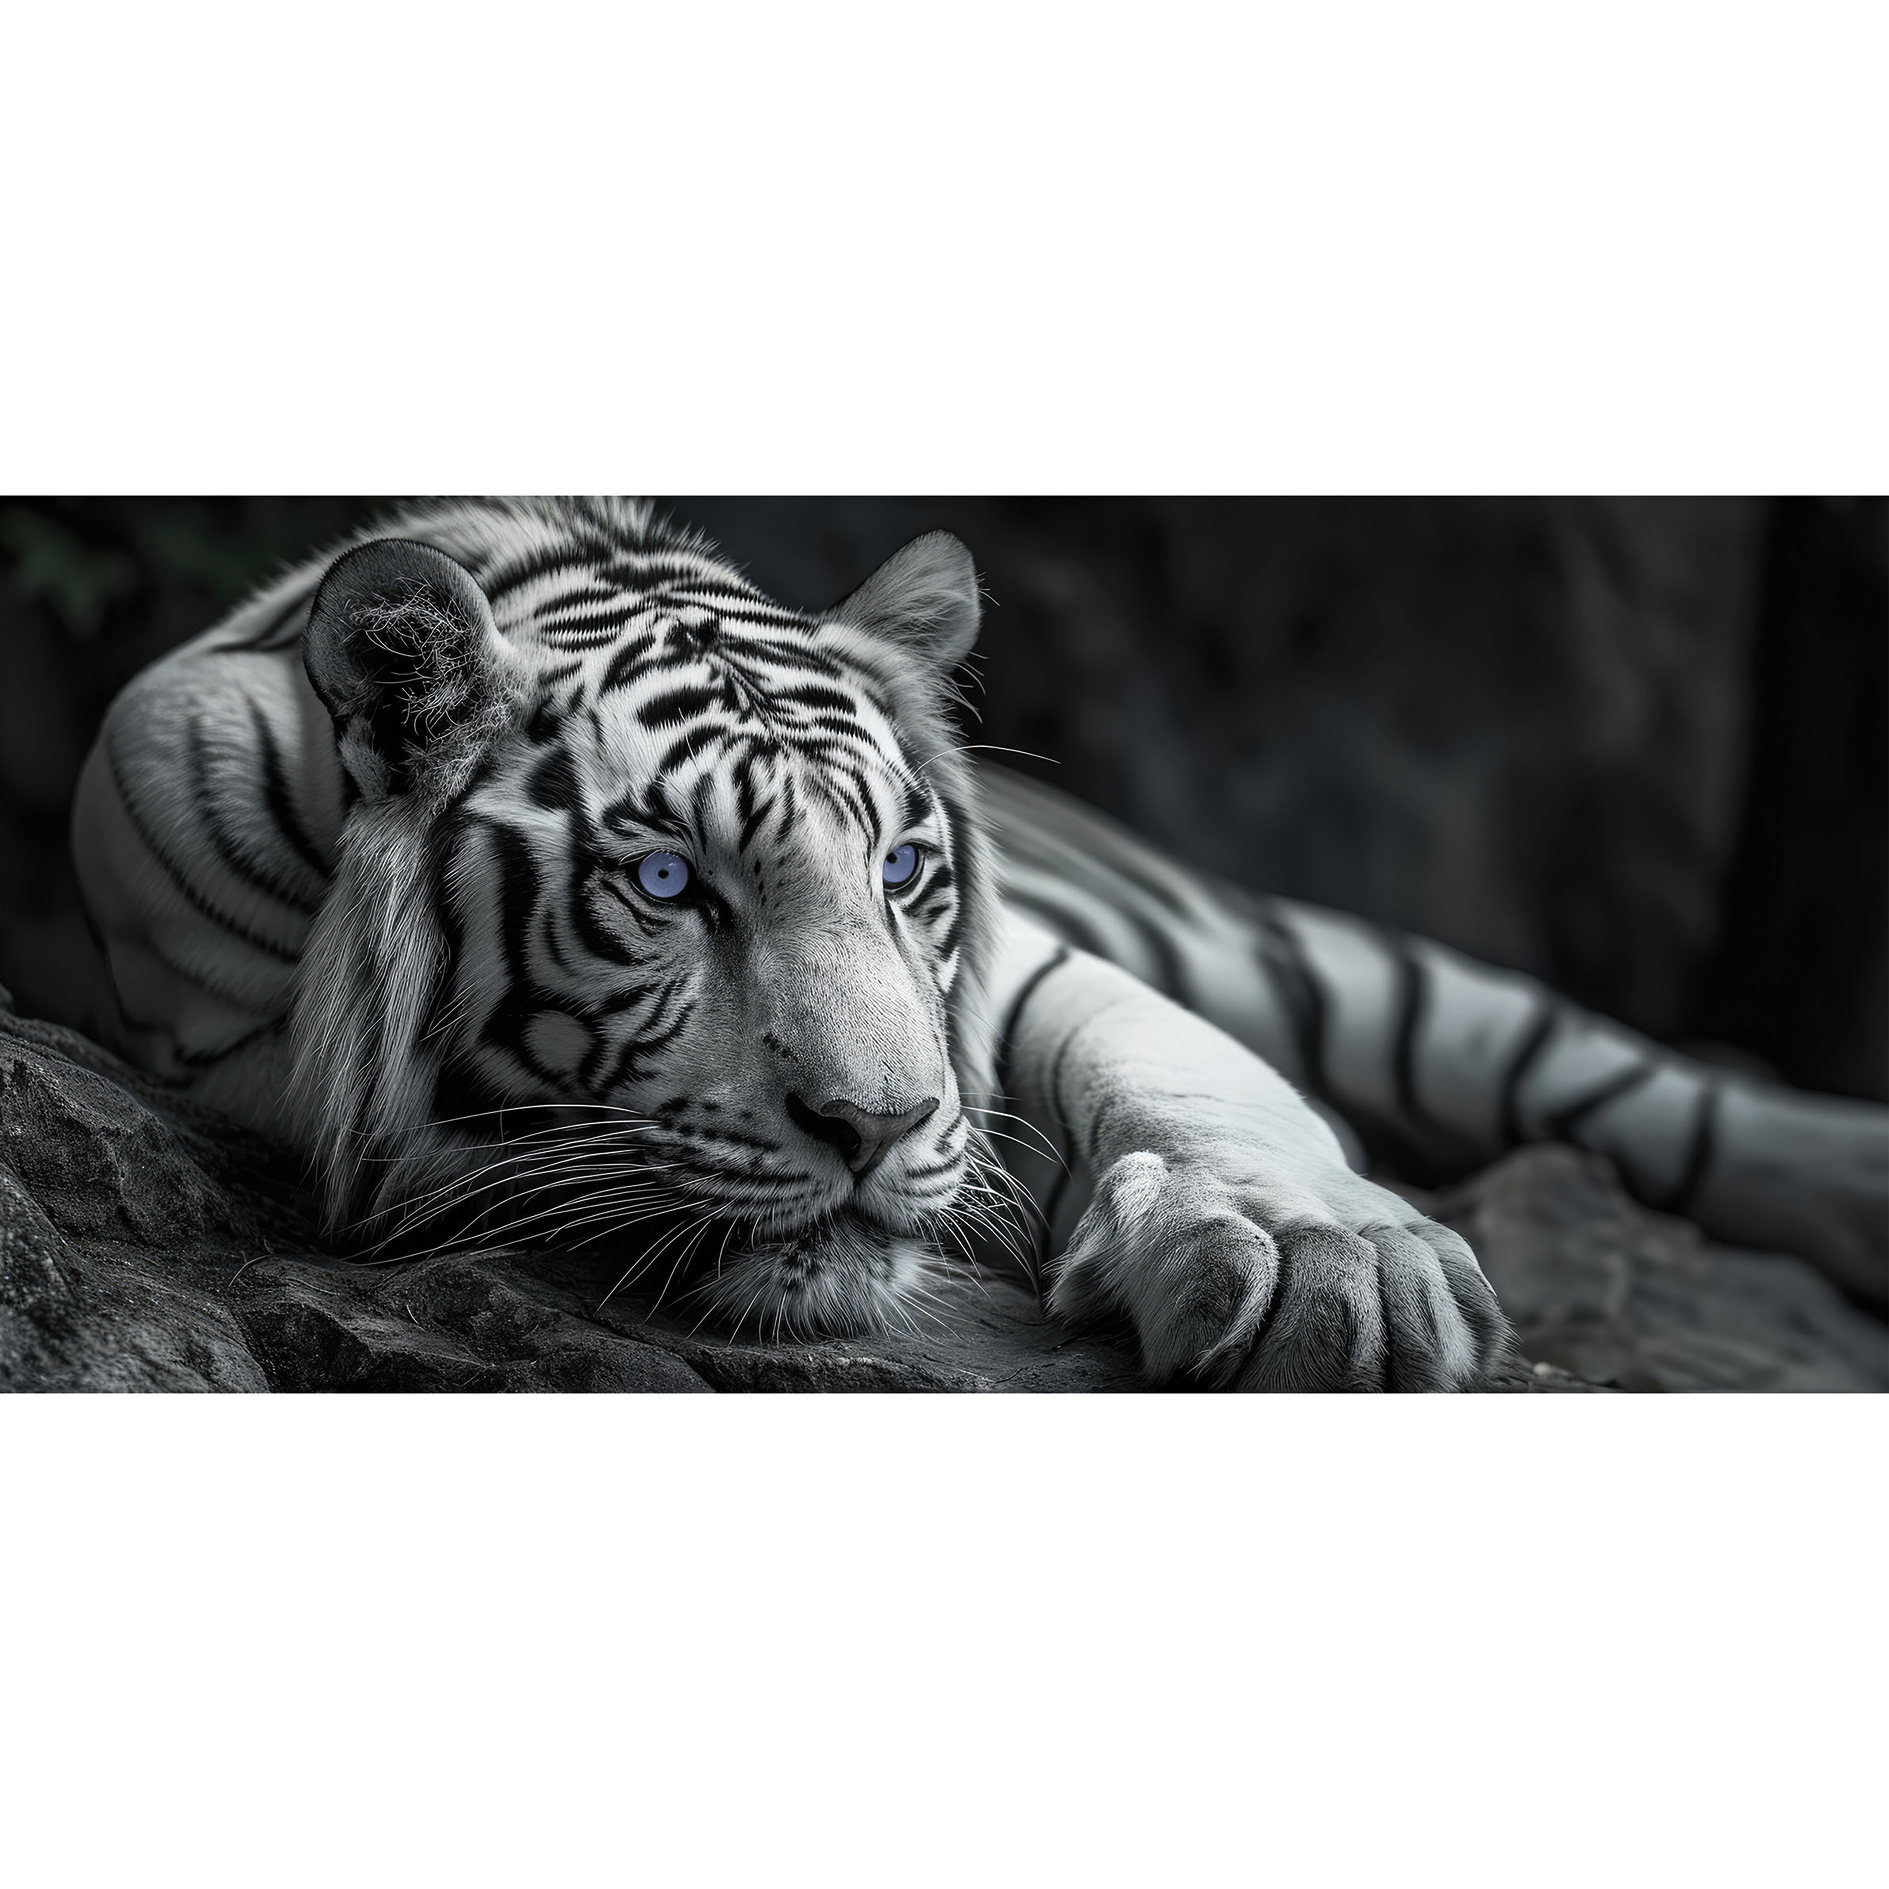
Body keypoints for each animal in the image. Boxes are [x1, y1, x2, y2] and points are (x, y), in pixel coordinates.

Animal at [68, 498, 1887, 1391]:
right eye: (662, 881)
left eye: (900, 870)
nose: (875, 1131)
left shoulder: (1027, 976)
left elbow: (1180, 1068)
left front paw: (1332, 1268)